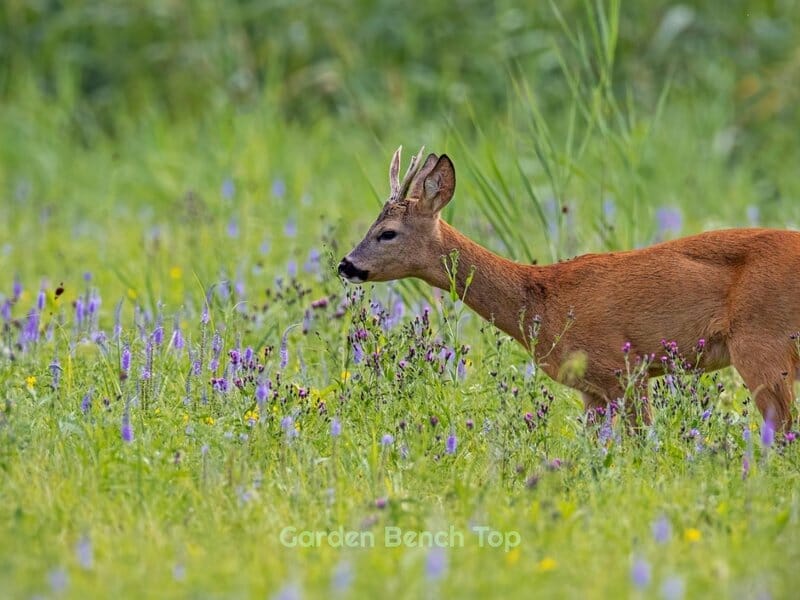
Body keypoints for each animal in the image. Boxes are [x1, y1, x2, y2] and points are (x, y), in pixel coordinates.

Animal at [338, 146, 800, 432]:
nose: (346, 265)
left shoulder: (623, 368)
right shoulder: (590, 388)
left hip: (761, 342)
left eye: (387, 233)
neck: (540, 299)